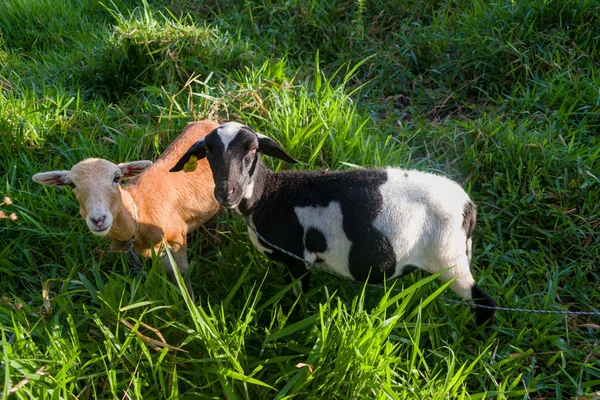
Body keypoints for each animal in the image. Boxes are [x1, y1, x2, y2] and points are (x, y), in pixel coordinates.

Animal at [32, 120, 220, 296]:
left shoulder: (178, 237)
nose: (98, 220)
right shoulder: (155, 251)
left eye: (117, 178)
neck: (140, 210)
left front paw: (190, 303)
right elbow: (168, 274)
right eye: (71, 184)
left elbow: (182, 274)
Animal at [170, 122, 496, 324]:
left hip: (448, 259)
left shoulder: (298, 261)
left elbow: (298, 300)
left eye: (252, 150)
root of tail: (468, 207)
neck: (268, 196)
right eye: (208, 151)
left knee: (484, 302)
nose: (227, 192)